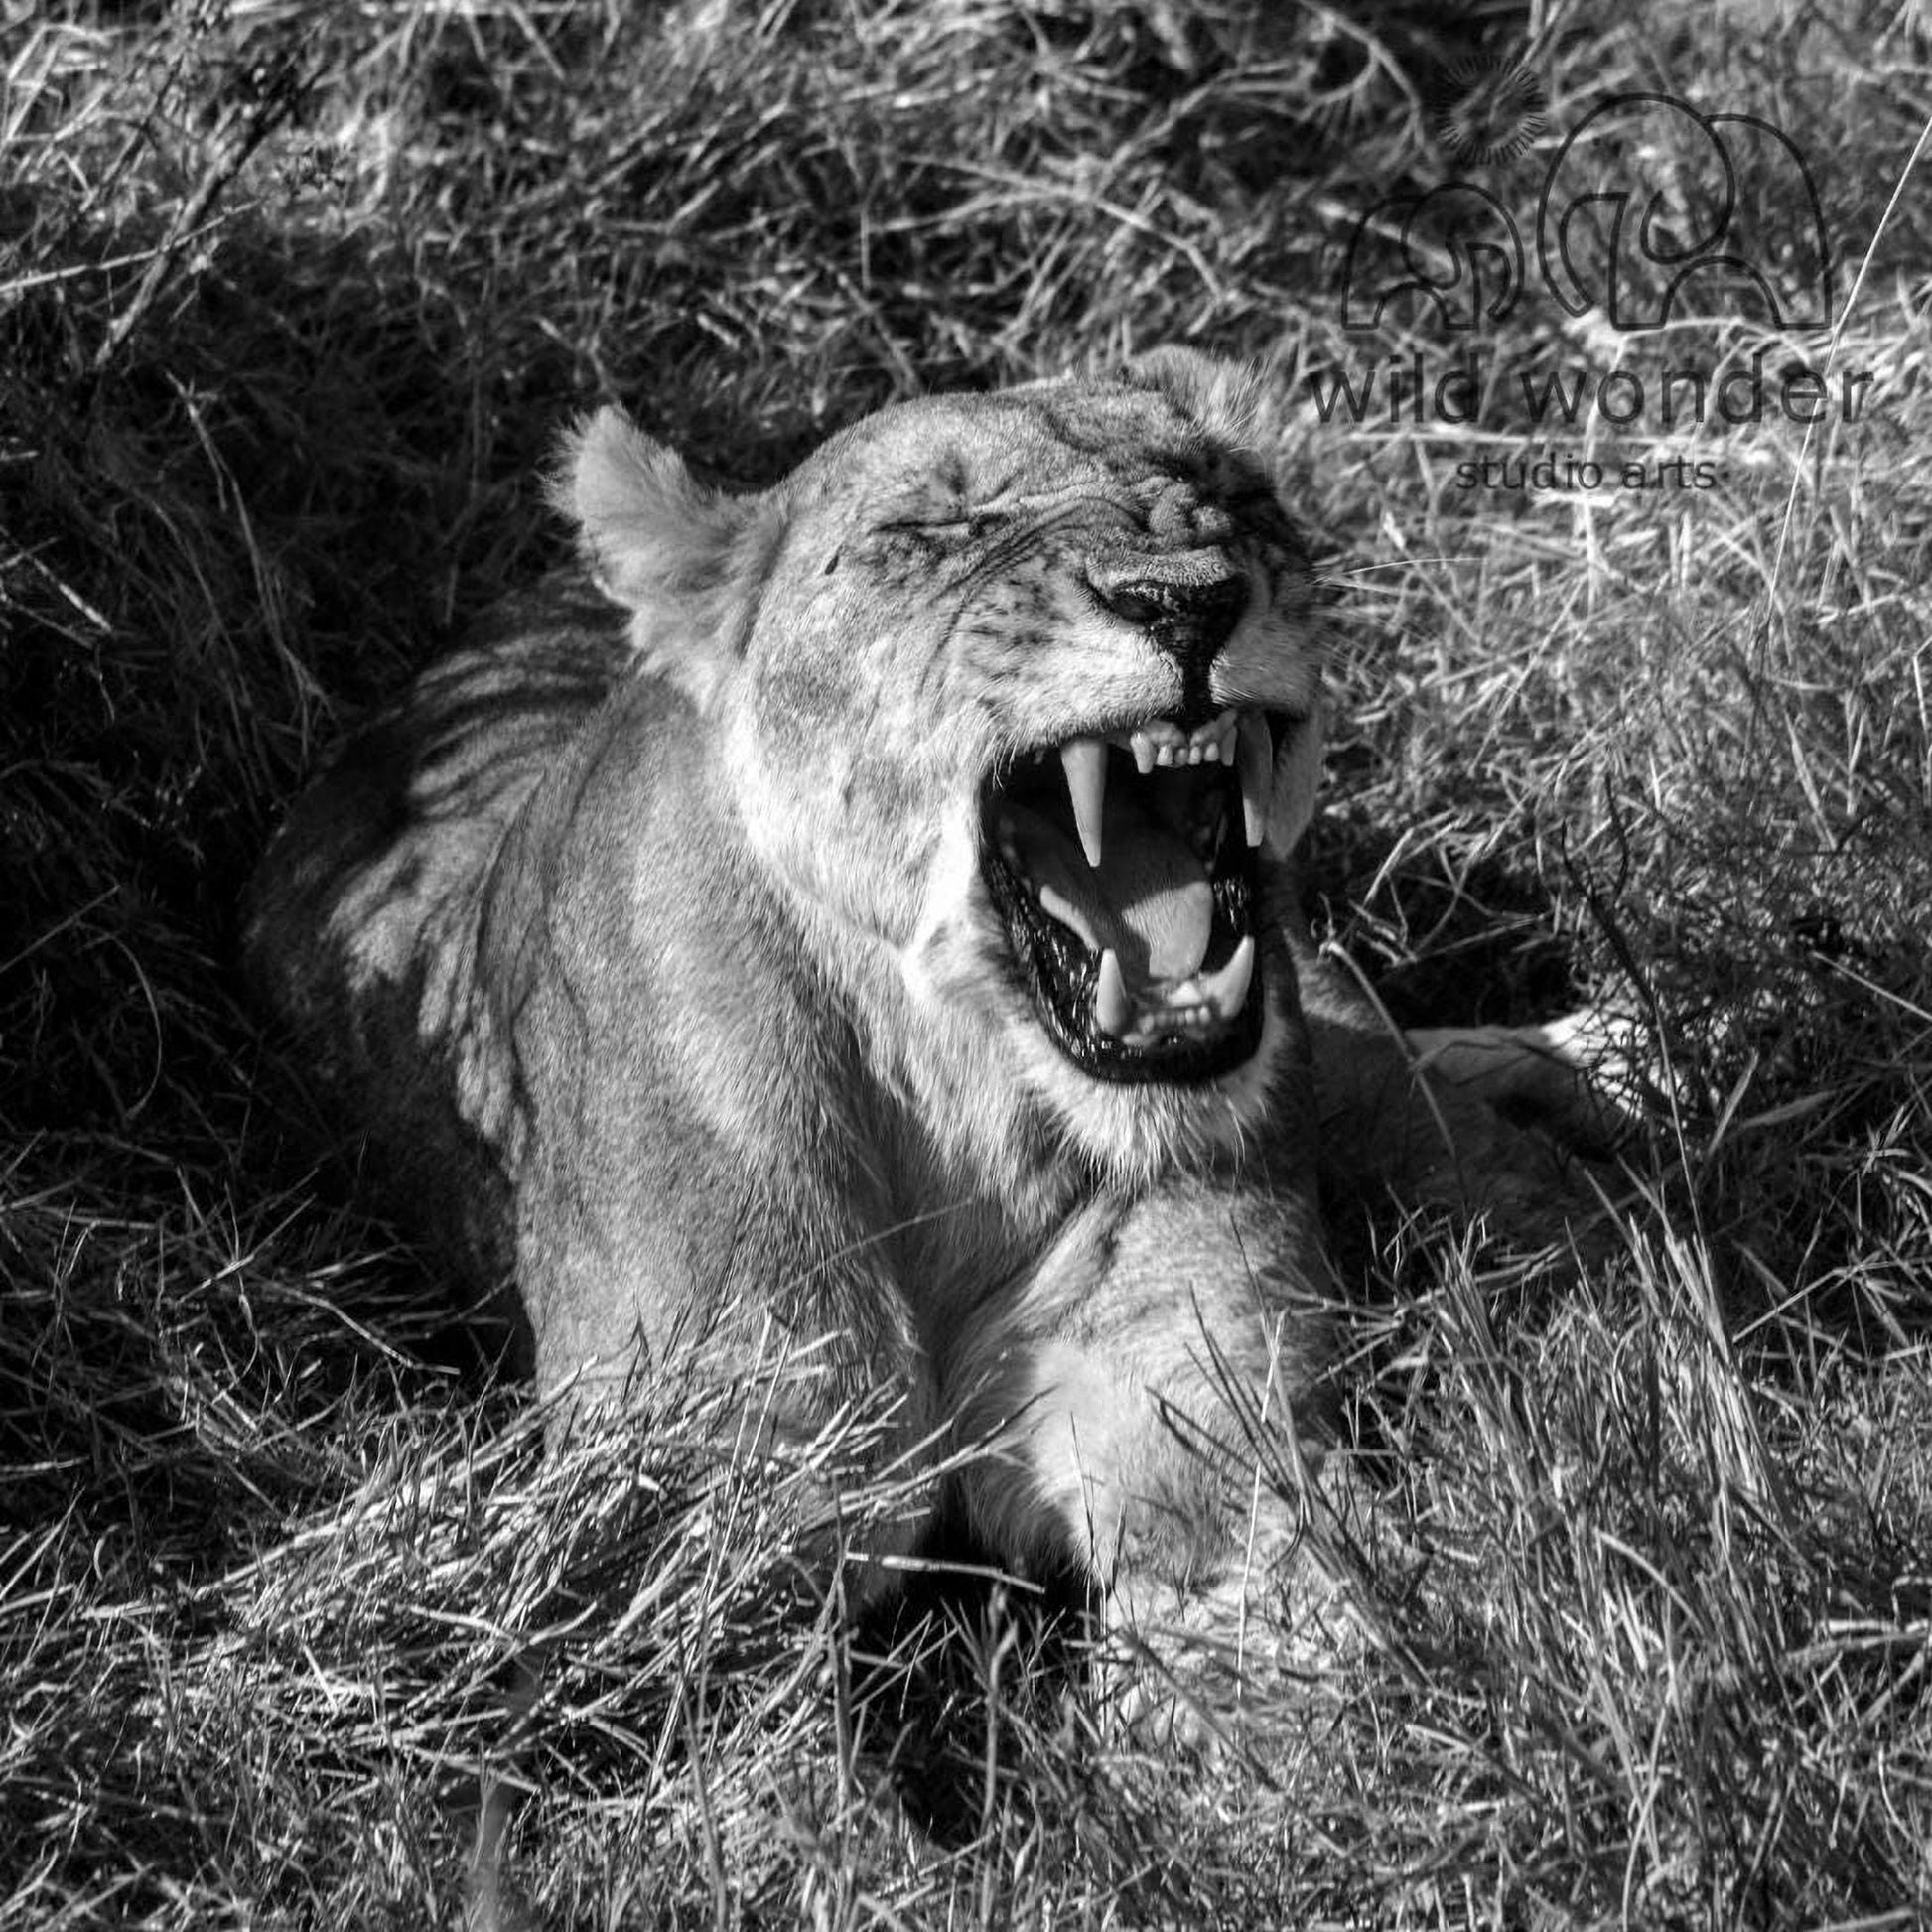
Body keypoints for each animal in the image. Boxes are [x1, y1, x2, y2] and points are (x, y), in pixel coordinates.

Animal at [245, 350, 1610, 1716]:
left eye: (1229, 493)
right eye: (930, 529)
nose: (1187, 600)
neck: (960, 1096)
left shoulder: (1204, 1431)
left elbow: (1290, 1694)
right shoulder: (709, 1513)